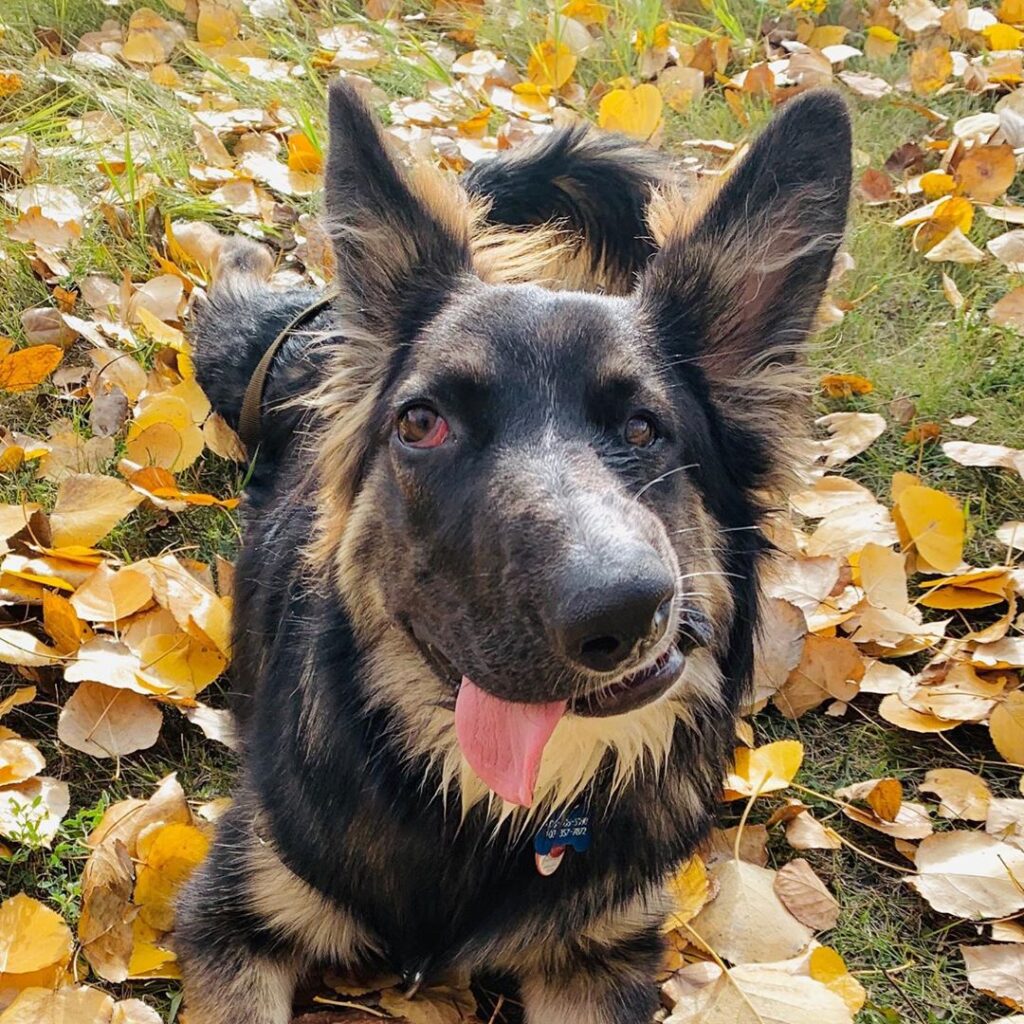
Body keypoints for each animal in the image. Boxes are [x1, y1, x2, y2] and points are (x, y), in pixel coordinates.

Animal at [180, 81, 851, 1024]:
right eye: (422, 423)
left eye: (643, 429)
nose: (620, 613)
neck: (480, 810)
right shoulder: (234, 913)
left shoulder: (601, 959)